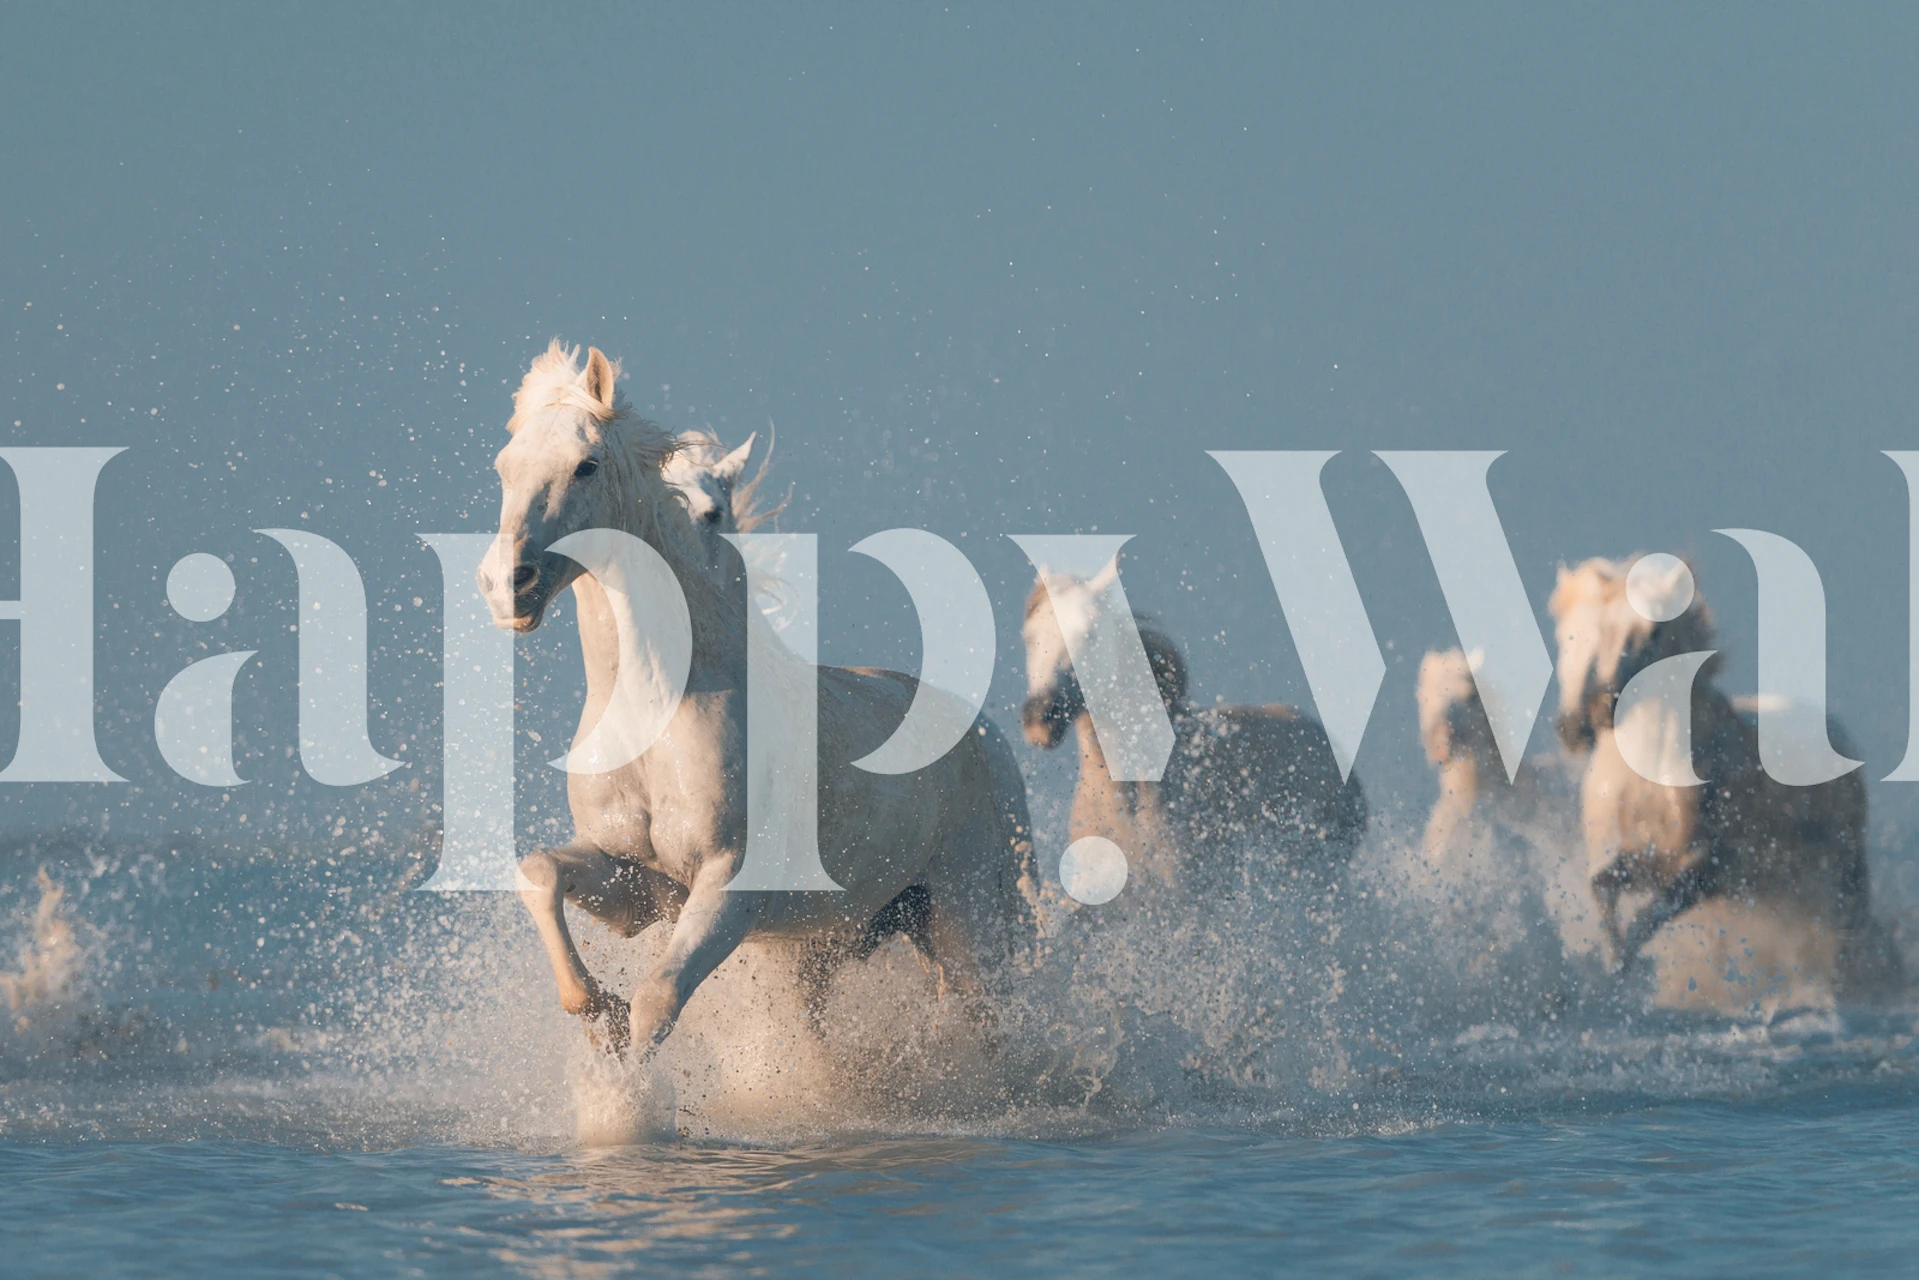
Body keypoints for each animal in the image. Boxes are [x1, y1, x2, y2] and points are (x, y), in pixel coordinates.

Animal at [478, 342, 1038, 1060]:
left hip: (969, 921)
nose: (506, 587)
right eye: (504, 467)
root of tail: (989, 740)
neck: (659, 707)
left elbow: (658, 1000)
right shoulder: (639, 884)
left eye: (586, 465)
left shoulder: (727, 889)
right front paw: (595, 1006)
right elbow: (539, 871)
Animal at [1549, 556, 1896, 991]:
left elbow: (1647, 916)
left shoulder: (1706, 871)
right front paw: (1613, 964)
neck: (1648, 780)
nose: (1578, 724)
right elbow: (1602, 889)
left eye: (1652, 631)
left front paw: (1625, 971)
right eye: (1568, 633)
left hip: (1842, 876)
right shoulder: (1637, 859)